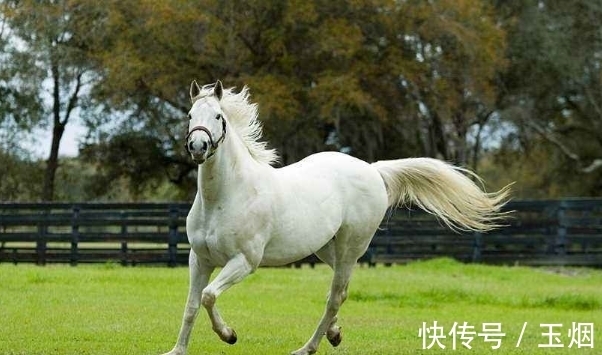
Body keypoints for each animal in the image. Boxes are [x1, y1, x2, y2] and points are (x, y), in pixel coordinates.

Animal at [162, 80, 508, 355]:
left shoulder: (244, 261)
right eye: (190, 116)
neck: (225, 196)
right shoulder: (199, 259)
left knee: (335, 295)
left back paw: (307, 348)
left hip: (350, 247)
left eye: (218, 117)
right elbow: (192, 305)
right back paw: (334, 333)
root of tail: (373, 170)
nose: (198, 146)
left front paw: (229, 335)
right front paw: (177, 351)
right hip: (328, 249)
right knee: (340, 292)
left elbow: (208, 296)